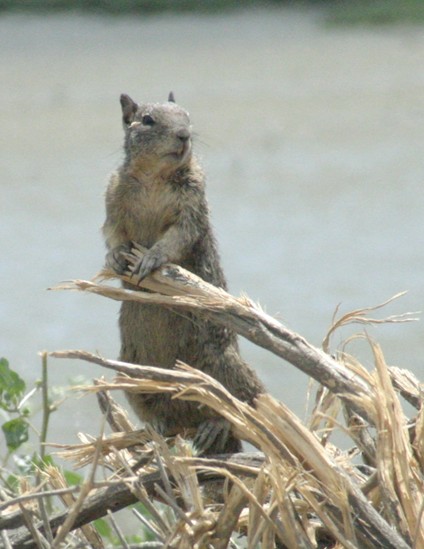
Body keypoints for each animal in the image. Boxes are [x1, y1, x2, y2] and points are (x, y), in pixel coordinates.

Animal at [102, 93, 264, 454]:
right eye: (148, 120)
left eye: (187, 116)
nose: (184, 135)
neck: (154, 177)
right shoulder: (112, 197)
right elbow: (112, 232)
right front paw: (118, 257)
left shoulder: (192, 203)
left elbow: (179, 235)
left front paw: (151, 258)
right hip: (130, 372)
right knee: (157, 412)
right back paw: (158, 426)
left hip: (227, 366)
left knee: (243, 405)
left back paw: (215, 426)